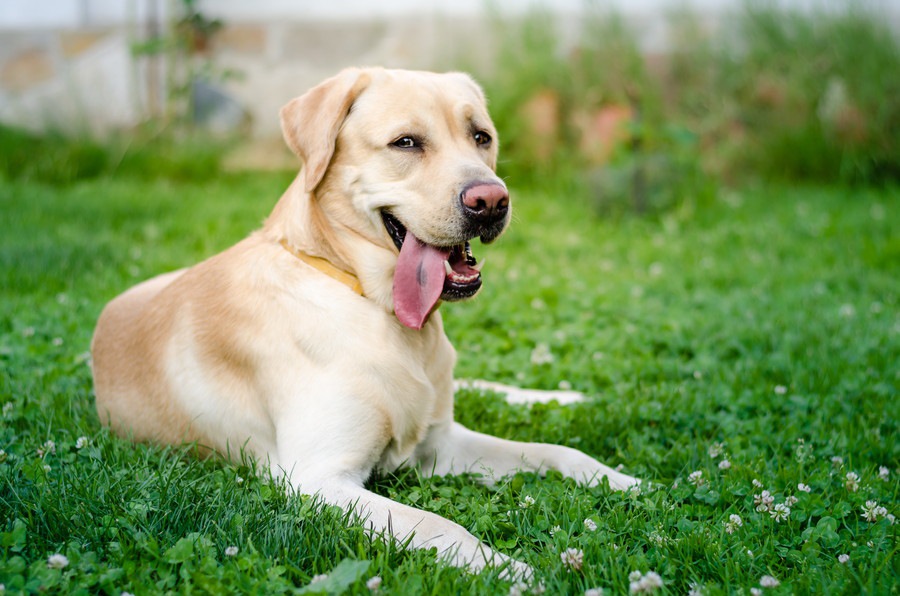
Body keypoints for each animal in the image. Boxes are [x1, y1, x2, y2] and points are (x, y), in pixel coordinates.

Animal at [93, 67, 640, 576]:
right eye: (406, 142)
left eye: (481, 137)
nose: (491, 201)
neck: (374, 304)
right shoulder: (319, 478)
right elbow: (440, 524)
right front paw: (512, 570)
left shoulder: (440, 443)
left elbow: (554, 451)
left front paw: (625, 480)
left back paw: (564, 397)